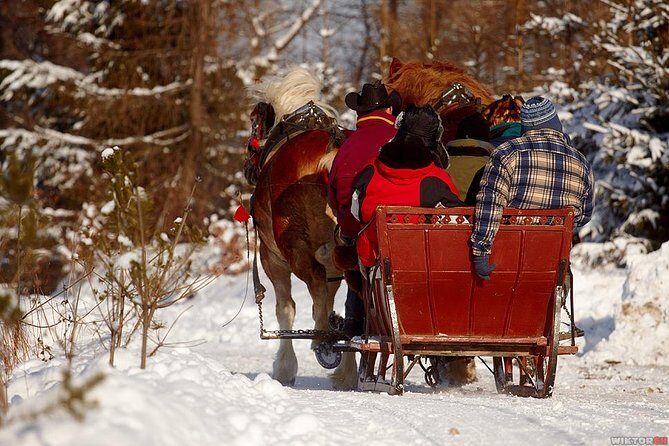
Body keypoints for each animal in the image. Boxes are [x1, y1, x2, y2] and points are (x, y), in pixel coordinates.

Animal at [244, 68, 358, 389]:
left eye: (254, 125)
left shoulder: (272, 259)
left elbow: (286, 309)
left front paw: (284, 367)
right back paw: (346, 370)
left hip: (292, 249)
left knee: (317, 285)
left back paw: (322, 341)